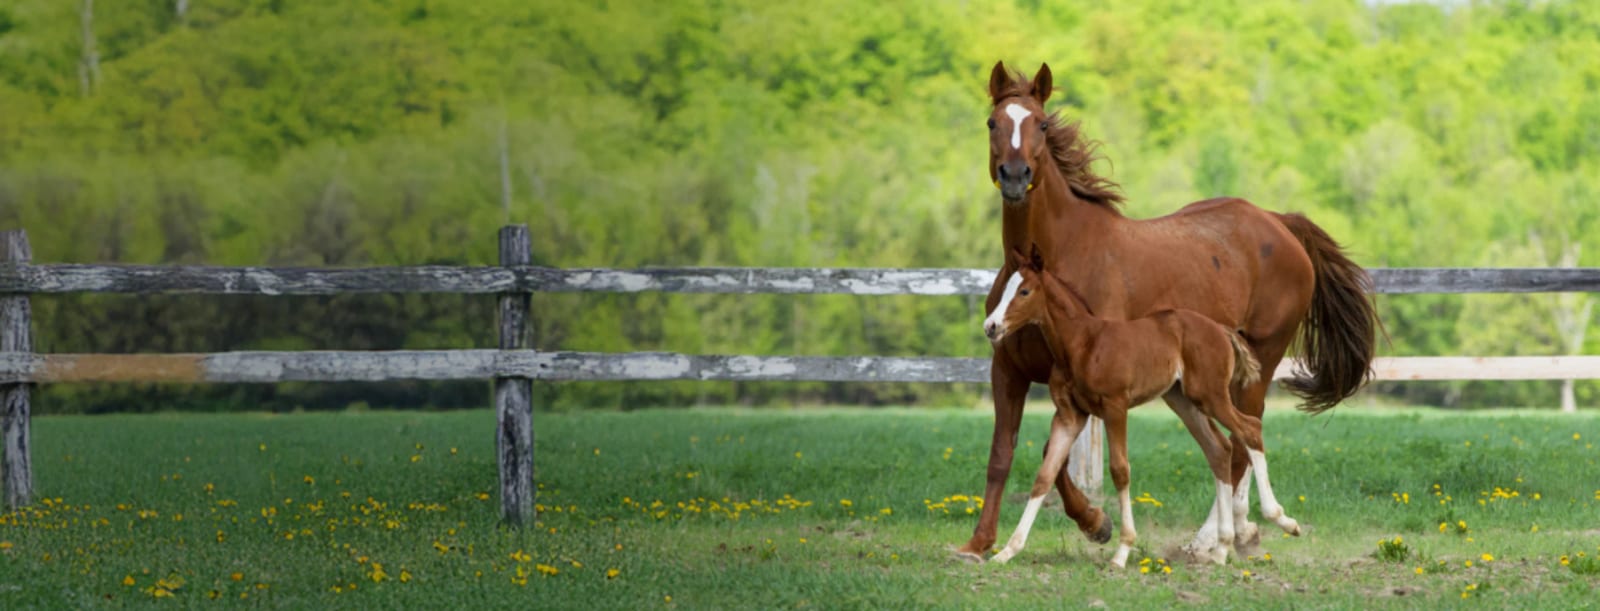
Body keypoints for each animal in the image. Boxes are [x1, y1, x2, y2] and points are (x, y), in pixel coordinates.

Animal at [985, 245, 1300, 567]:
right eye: (1005, 288)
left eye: (1024, 291)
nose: (991, 326)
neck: (1083, 344)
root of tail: (1222, 330)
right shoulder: (1069, 416)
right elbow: (1044, 476)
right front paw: (1007, 551)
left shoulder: (1115, 407)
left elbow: (1120, 470)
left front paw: (1122, 552)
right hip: (1184, 400)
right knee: (1219, 448)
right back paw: (1221, 548)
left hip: (1210, 396)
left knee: (1250, 429)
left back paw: (1281, 520)